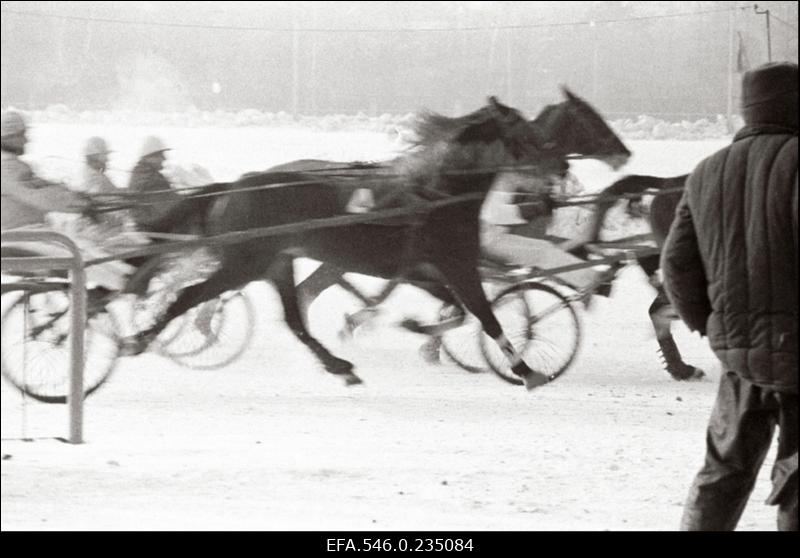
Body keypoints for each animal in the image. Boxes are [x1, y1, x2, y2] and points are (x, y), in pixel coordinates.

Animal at [122, 96, 576, 392]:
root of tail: (234, 186)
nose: (561, 166)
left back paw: (339, 366)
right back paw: (139, 339)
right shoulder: (456, 264)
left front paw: (413, 325)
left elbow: (459, 313)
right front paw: (527, 370)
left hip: (275, 263)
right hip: (246, 262)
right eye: (527, 134)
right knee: (189, 296)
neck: (435, 195)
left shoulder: (424, 272)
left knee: (293, 317)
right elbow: (485, 316)